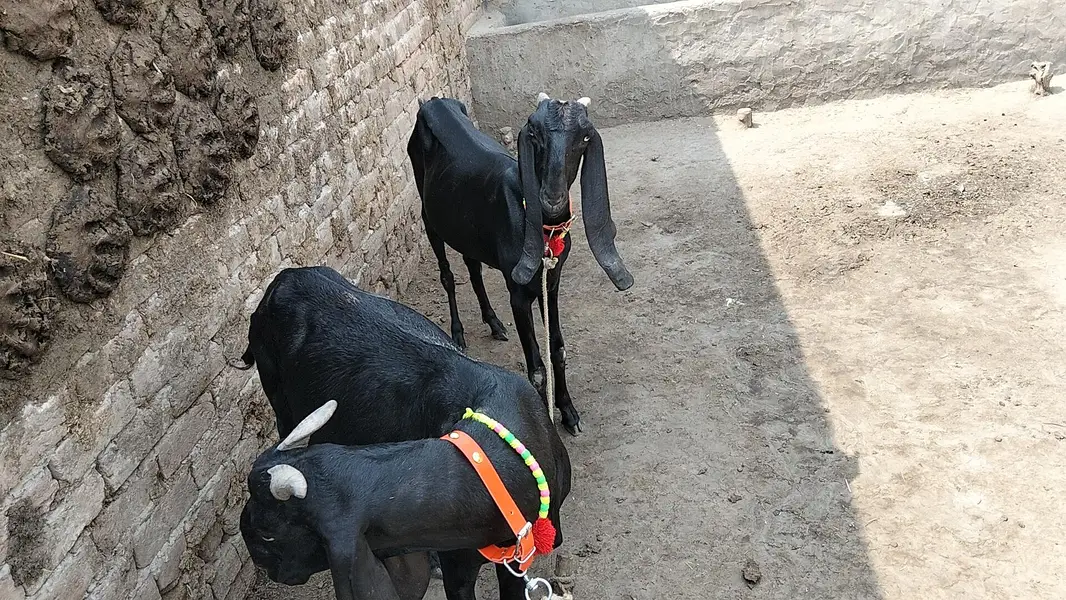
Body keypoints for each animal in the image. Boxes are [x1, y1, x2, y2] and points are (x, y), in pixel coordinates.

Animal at [234, 266, 571, 599]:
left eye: (268, 534)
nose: (263, 565)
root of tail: (285, 278)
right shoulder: (459, 562)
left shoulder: (515, 558)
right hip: (278, 399)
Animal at [407, 94, 634, 437]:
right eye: (535, 134)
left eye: (583, 138)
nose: (552, 198)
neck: (543, 230)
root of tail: (432, 101)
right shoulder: (518, 291)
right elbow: (537, 367)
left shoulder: (552, 282)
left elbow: (558, 349)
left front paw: (569, 412)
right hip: (429, 215)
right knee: (447, 274)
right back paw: (458, 333)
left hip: (465, 228)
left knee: (472, 266)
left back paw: (494, 322)